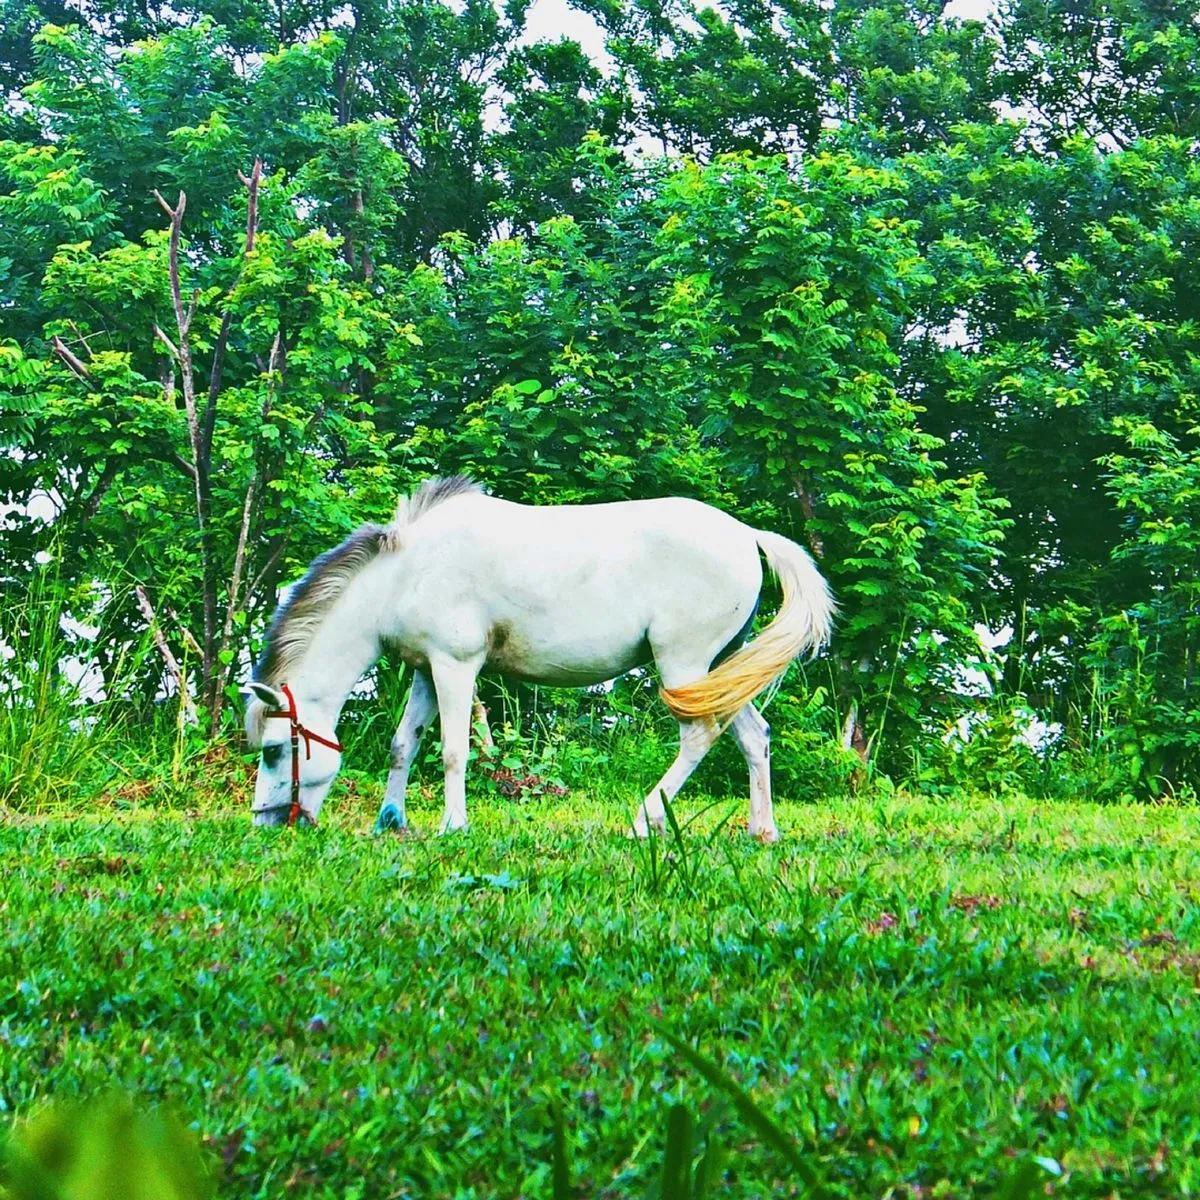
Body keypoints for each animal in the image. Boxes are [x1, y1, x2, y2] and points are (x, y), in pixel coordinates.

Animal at [244, 477, 835, 844]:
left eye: (274, 751)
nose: (265, 823)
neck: (404, 571)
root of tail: (746, 535)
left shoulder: (456, 666)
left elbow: (454, 751)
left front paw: (453, 825)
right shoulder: (427, 670)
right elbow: (402, 744)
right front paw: (392, 821)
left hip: (684, 665)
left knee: (700, 736)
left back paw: (644, 821)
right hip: (719, 671)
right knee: (754, 736)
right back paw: (763, 830)